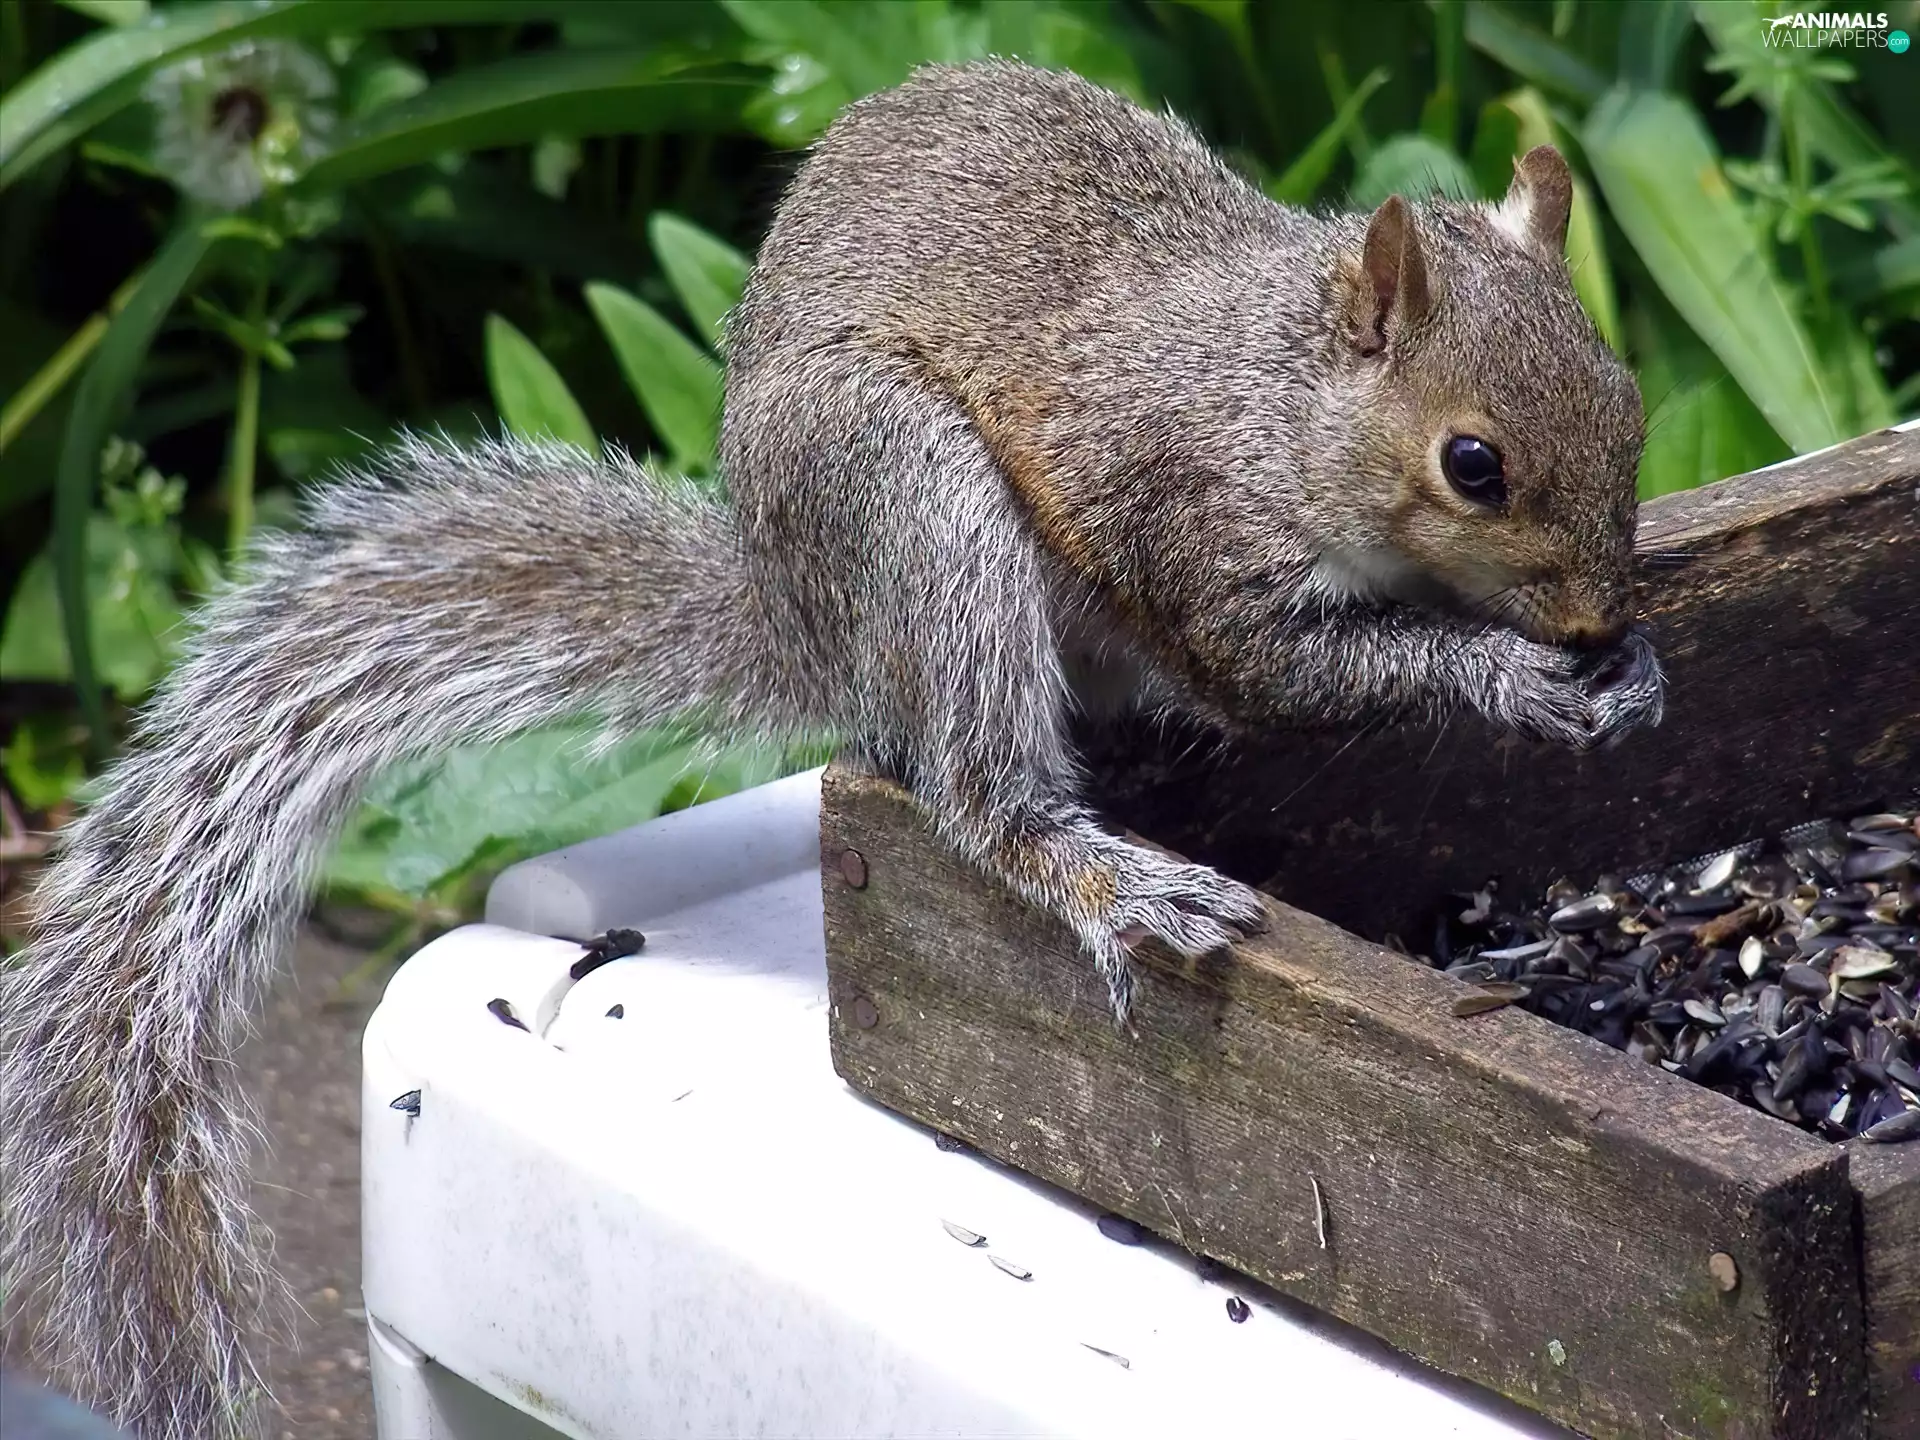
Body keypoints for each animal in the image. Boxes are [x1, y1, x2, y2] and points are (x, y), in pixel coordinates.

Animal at [2, 60, 1663, 1440]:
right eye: (1472, 464)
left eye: (1634, 404)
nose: (1598, 610)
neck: (1282, 394)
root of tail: (803, 611)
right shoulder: (1192, 533)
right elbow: (1287, 675)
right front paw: (1510, 671)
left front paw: (1631, 674)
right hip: (916, 505)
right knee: (980, 789)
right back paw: (1109, 878)